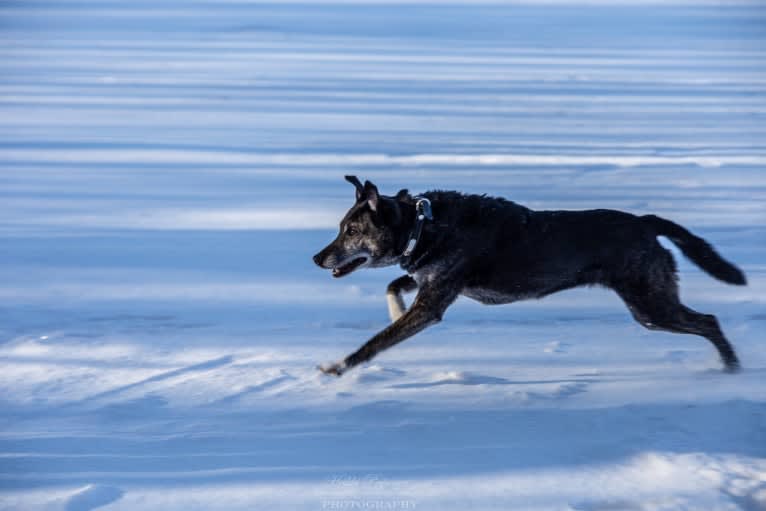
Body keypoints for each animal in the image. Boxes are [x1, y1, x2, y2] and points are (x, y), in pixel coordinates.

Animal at [310, 176, 744, 376]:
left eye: (351, 231)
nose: (316, 257)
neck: (425, 225)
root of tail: (645, 222)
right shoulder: (430, 281)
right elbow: (394, 285)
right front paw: (395, 310)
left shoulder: (433, 301)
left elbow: (375, 342)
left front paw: (338, 367)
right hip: (650, 304)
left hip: (650, 305)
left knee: (709, 321)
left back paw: (731, 369)